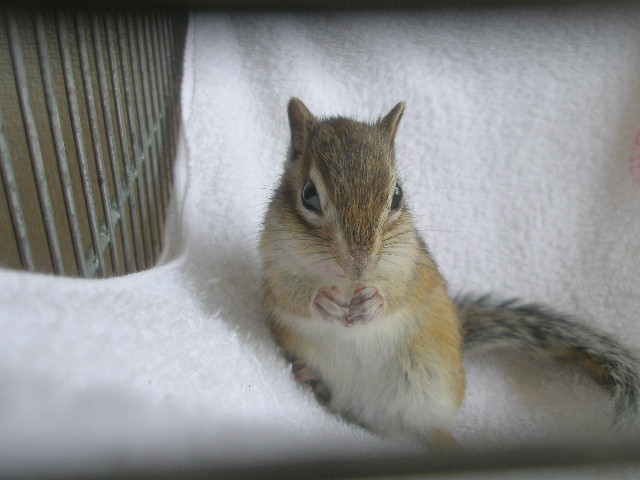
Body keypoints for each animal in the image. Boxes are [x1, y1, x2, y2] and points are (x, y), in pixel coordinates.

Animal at [258, 98, 640, 446]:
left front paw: (374, 302)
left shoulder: (412, 263)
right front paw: (322, 301)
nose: (360, 266)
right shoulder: (274, 263)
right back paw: (311, 379)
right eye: (309, 195)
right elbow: (289, 295)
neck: (348, 283)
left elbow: (401, 292)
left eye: (397, 196)